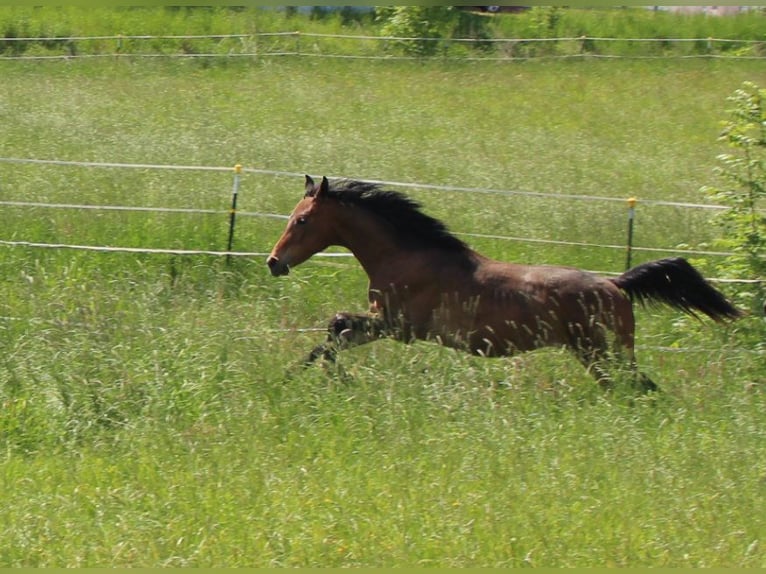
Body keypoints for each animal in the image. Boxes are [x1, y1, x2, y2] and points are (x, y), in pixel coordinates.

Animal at [267, 175, 742, 392]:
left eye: (302, 221)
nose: (274, 263)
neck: (407, 255)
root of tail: (615, 283)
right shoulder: (385, 324)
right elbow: (333, 332)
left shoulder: (398, 326)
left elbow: (336, 327)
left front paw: (313, 377)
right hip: (598, 354)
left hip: (603, 353)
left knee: (636, 388)